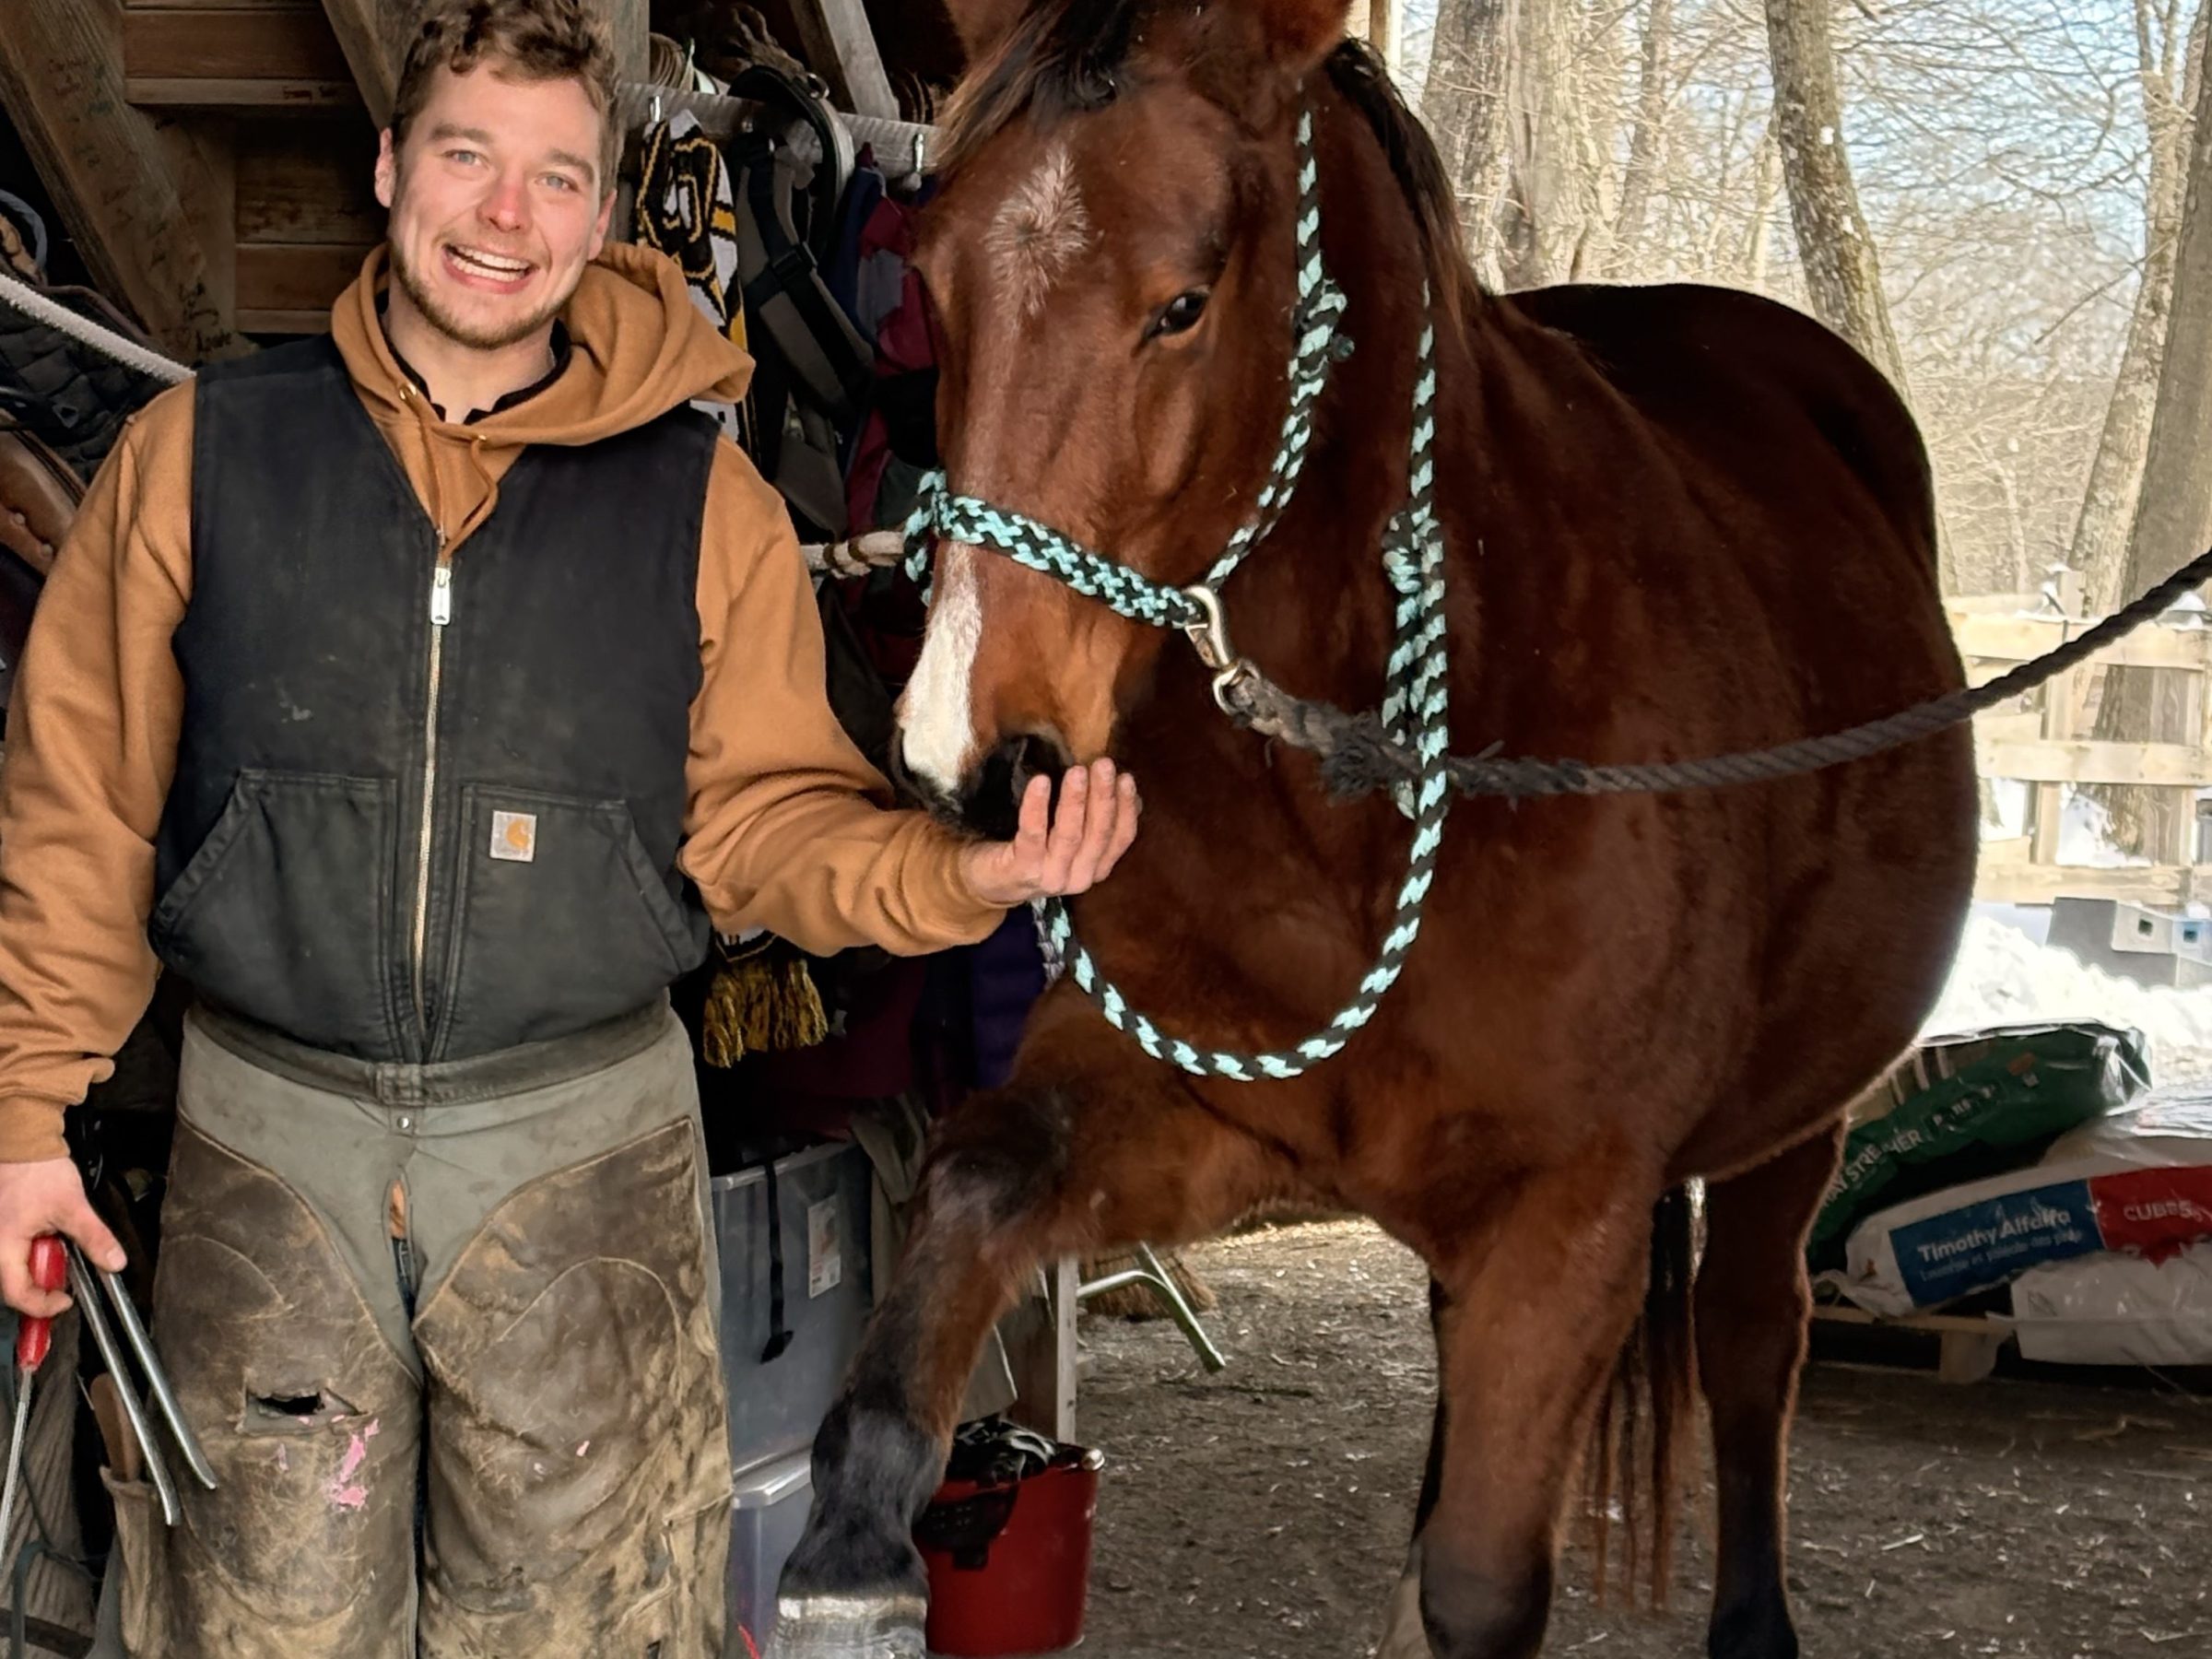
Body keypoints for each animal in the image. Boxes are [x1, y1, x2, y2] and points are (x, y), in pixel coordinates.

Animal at [764, 2, 1978, 1655]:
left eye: (1183, 303)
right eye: (938, 290)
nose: (976, 754)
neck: (1371, 798)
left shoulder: (1567, 1220)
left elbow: (1486, 1585)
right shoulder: (1191, 1110)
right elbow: (973, 1191)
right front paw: (851, 1555)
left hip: (1793, 1131)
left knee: (1747, 1346)